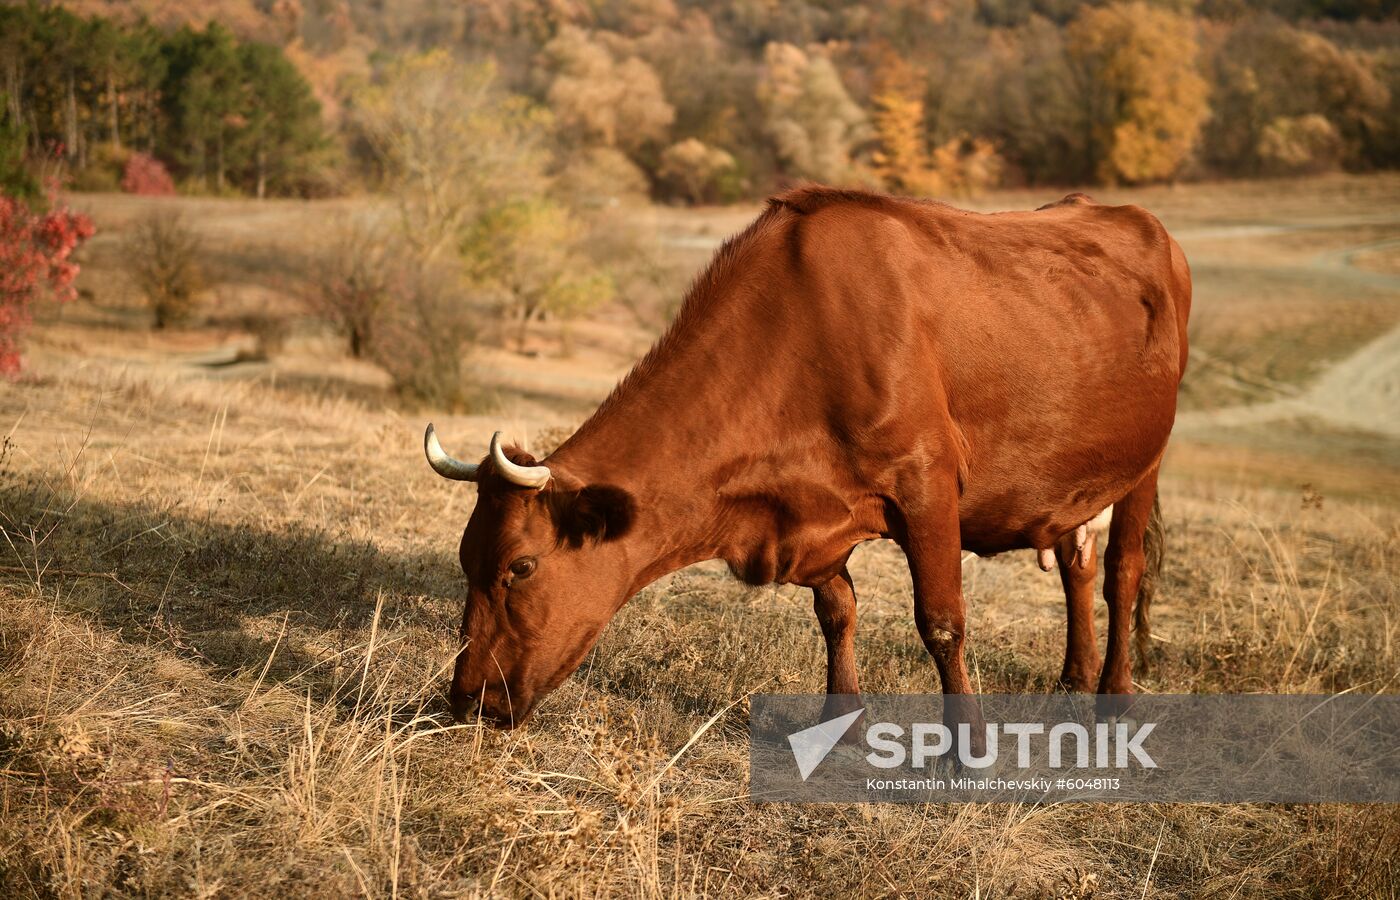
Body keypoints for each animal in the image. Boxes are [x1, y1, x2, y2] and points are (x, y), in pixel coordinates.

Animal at [425, 186, 1192, 727]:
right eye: (466, 560)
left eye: (521, 567)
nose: (464, 699)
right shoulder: (818, 513)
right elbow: (836, 611)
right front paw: (841, 719)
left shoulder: (927, 483)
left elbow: (942, 623)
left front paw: (966, 748)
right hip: (1078, 476)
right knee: (1077, 562)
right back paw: (1071, 679)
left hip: (1147, 461)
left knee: (1121, 572)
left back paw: (1114, 695)